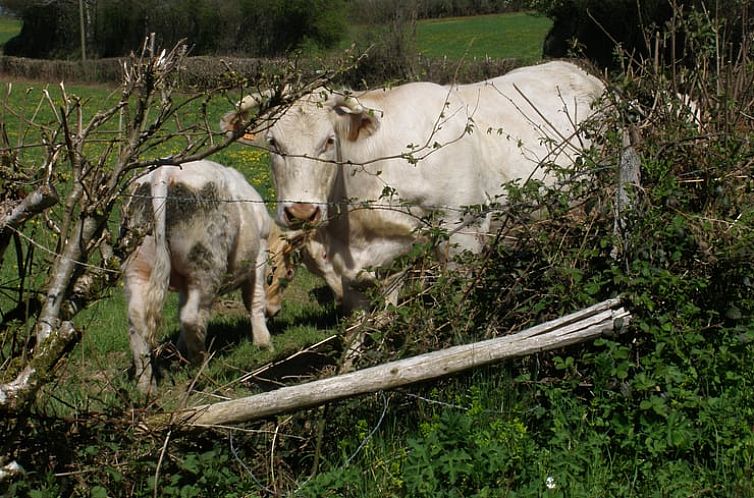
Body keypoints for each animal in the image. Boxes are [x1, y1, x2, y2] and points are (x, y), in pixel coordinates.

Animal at [122, 160, 274, 392]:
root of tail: (165, 172)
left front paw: (179, 349)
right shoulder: (260, 253)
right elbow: (254, 298)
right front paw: (264, 343)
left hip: (137, 263)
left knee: (137, 319)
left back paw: (147, 386)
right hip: (206, 261)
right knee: (192, 316)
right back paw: (203, 369)